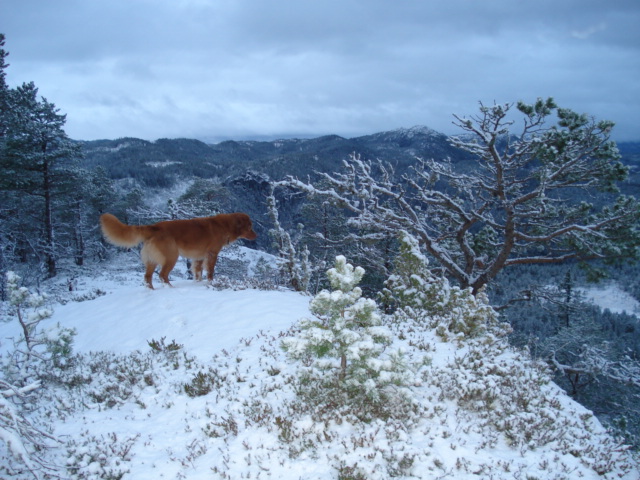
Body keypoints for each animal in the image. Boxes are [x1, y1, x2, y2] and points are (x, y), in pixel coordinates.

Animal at [99, 211, 258, 286]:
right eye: (250, 227)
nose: (256, 235)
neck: (224, 226)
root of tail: (154, 227)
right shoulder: (212, 253)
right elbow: (210, 271)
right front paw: (211, 282)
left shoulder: (198, 257)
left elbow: (197, 272)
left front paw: (198, 284)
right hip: (171, 256)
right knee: (162, 275)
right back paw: (170, 288)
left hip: (152, 259)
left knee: (147, 277)